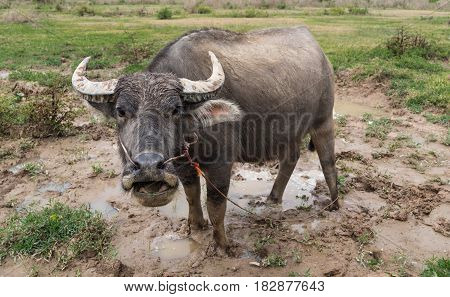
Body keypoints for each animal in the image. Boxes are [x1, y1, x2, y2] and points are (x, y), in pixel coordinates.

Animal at [71, 26, 338, 251]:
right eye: (121, 111)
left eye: (175, 110)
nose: (148, 169)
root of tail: (319, 51)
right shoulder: (182, 164)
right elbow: (192, 195)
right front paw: (196, 226)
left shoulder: (221, 165)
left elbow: (216, 205)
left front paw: (222, 245)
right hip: (288, 132)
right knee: (290, 159)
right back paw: (272, 199)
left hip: (323, 121)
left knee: (327, 162)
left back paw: (333, 205)